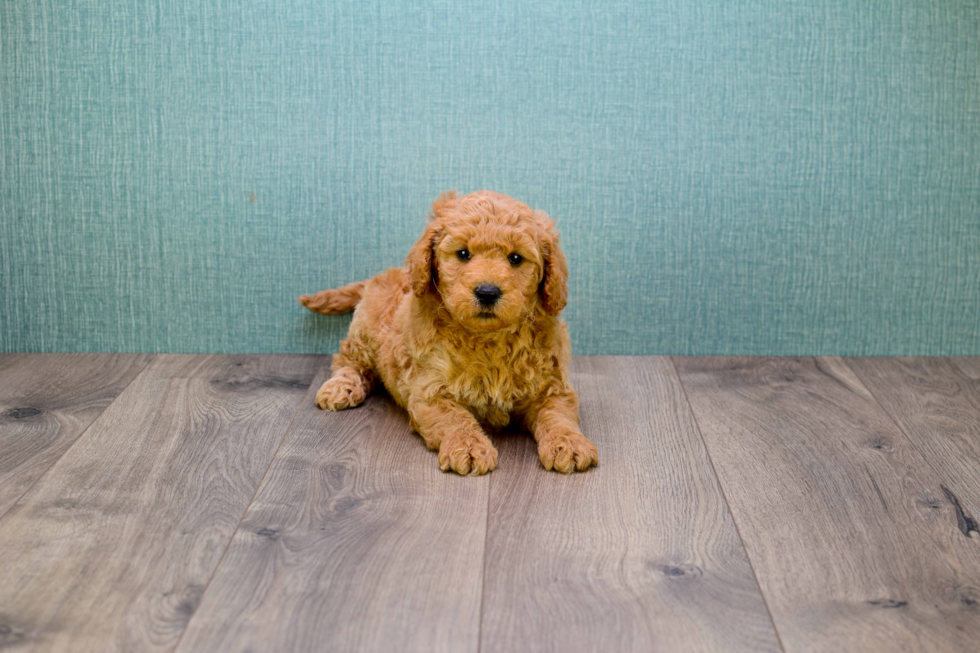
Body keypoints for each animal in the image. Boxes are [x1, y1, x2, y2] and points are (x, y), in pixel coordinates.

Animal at [294, 188, 596, 474]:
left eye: (515, 258)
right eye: (463, 253)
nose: (487, 292)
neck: (488, 339)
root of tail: (382, 276)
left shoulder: (553, 385)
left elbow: (558, 416)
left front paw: (569, 443)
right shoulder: (430, 391)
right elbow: (455, 418)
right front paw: (469, 447)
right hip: (364, 334)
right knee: (347, 360)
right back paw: (340, 387)